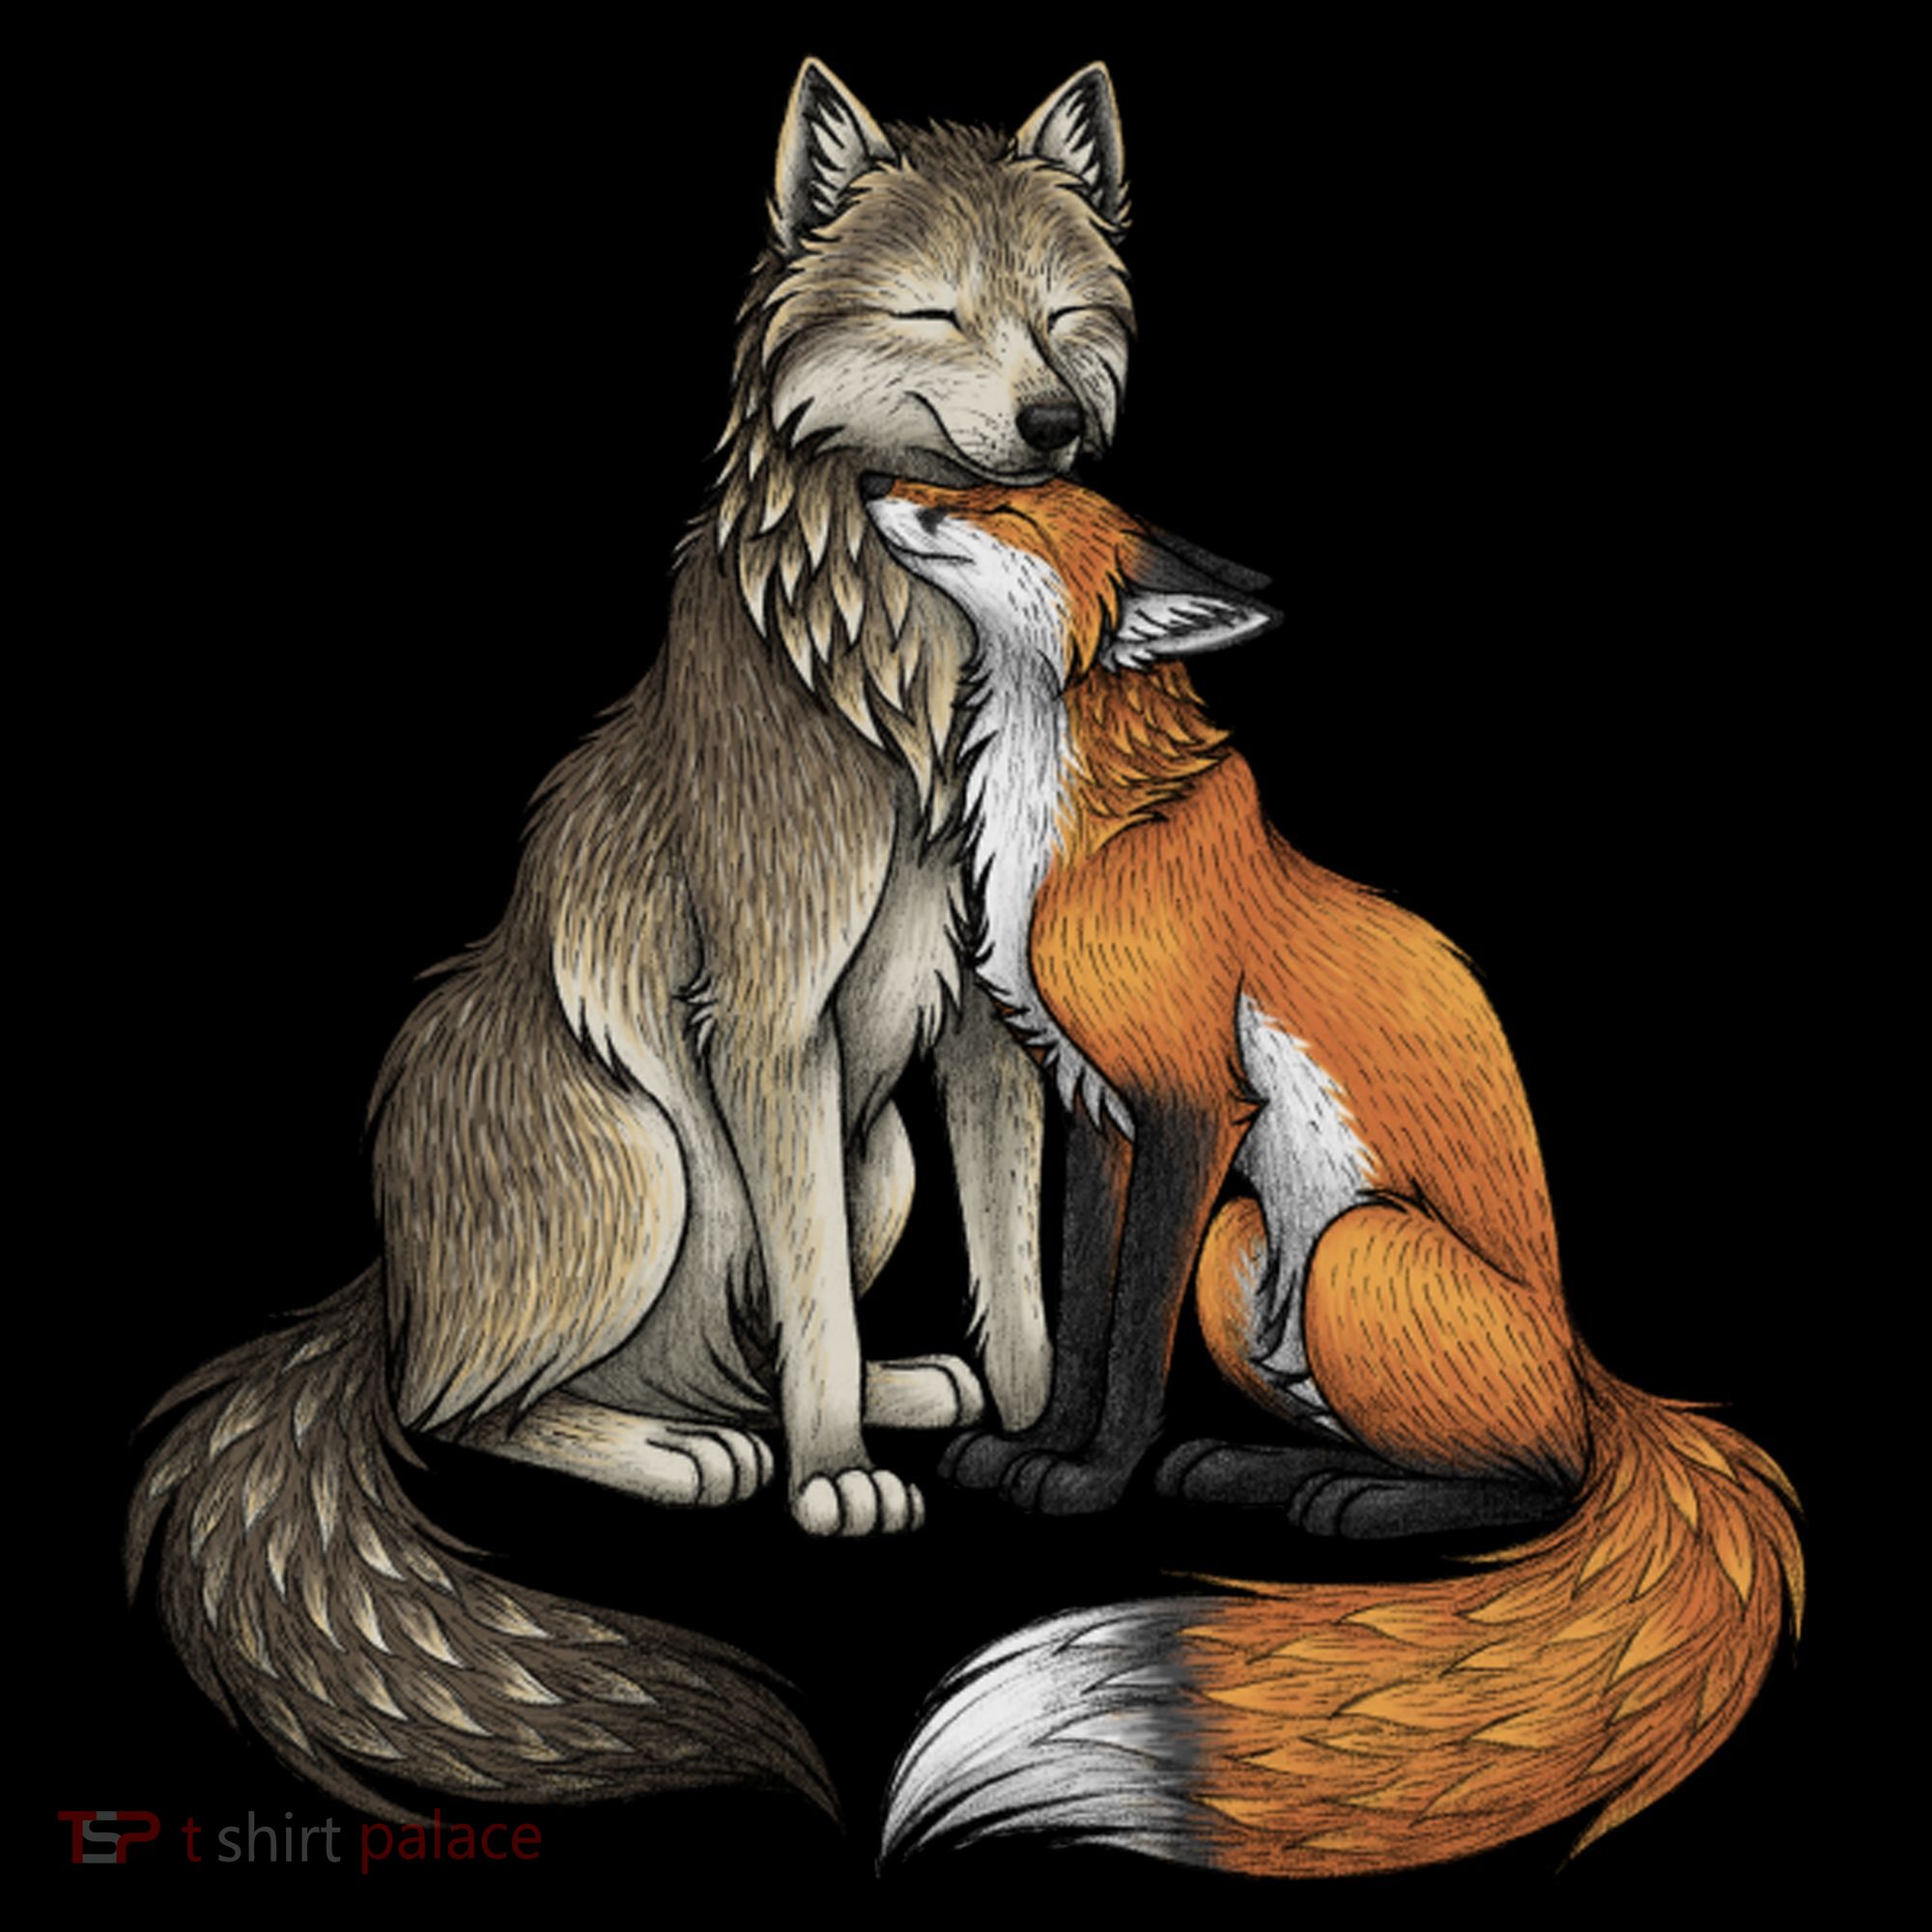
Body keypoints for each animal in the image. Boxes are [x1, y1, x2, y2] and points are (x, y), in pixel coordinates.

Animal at [125, 61, 1134, 1819]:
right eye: (935, 313)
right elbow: (811, 1307)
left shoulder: (976, 1027)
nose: (1054, 428)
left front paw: (1015, 1431)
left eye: (1062, 314)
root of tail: (378, 1289)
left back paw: (870, 1394)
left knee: (748, 1330)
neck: (911, 670)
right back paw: (694, 1453)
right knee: (466, 1408)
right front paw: (832, 1480)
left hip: (877, 1152)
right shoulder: (774, 1023)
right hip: (649, 1153)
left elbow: (1006, 1279)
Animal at [865, 476, 1804, 1876]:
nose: (878, 487)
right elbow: (1082, 1313)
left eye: (1008, 506)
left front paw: (1090, 1480)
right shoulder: (1100, 1110)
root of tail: (1597, 1377)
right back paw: (1265, 1470)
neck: (1065, 834)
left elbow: (1129, 1343)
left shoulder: (1193, 1107)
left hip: (1360, 1249)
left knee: (1536, 1480)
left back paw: (1348, 1502)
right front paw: (1038, 1449)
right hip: (1246, 1250)